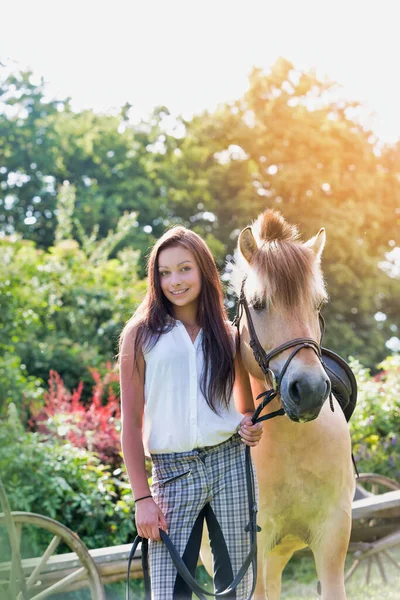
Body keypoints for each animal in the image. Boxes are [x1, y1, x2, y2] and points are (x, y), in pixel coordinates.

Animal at [202, 210, 354, 600]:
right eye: (259, 304)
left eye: (318, 305)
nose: (310, 389)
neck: (291, 446)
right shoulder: (250, 553)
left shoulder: (333, 535)